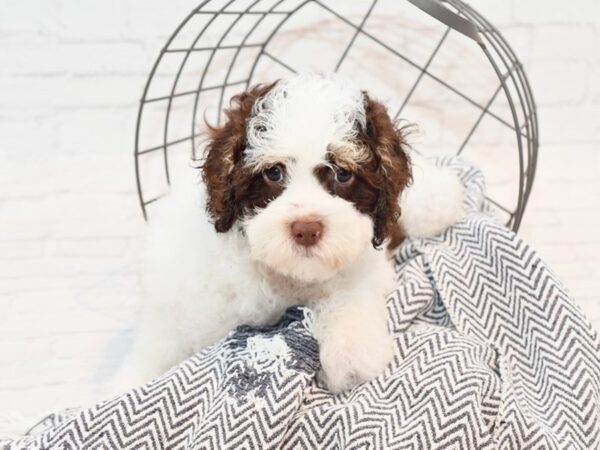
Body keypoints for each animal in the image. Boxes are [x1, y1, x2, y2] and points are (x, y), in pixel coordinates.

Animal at [116, 73, 464, 394]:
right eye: (273, 172)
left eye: (343, 174)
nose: (307, 230)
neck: (285, 274)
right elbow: (166, 336)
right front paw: (128, 384)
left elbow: (347, 292)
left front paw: (351, 356)